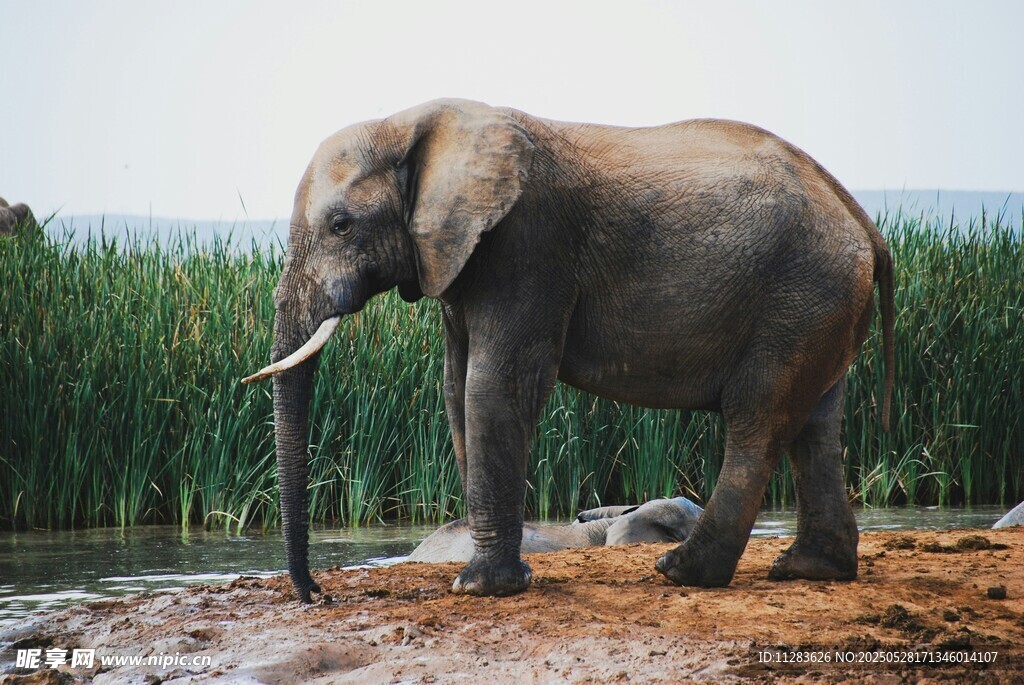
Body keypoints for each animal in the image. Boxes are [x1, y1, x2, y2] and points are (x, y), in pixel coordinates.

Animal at [243, 98, 895, 601]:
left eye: (341, 226)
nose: (317, 595)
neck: (409, 123)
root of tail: (865, 222)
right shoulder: (459, 258)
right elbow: (456, 387)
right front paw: (486, 577)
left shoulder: (527, 245)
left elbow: (493, 385)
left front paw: (481, 588)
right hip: (821, 304)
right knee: (815, 423)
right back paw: (809, 570)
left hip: (799, 294)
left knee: (758, 420)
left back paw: (682, 574)